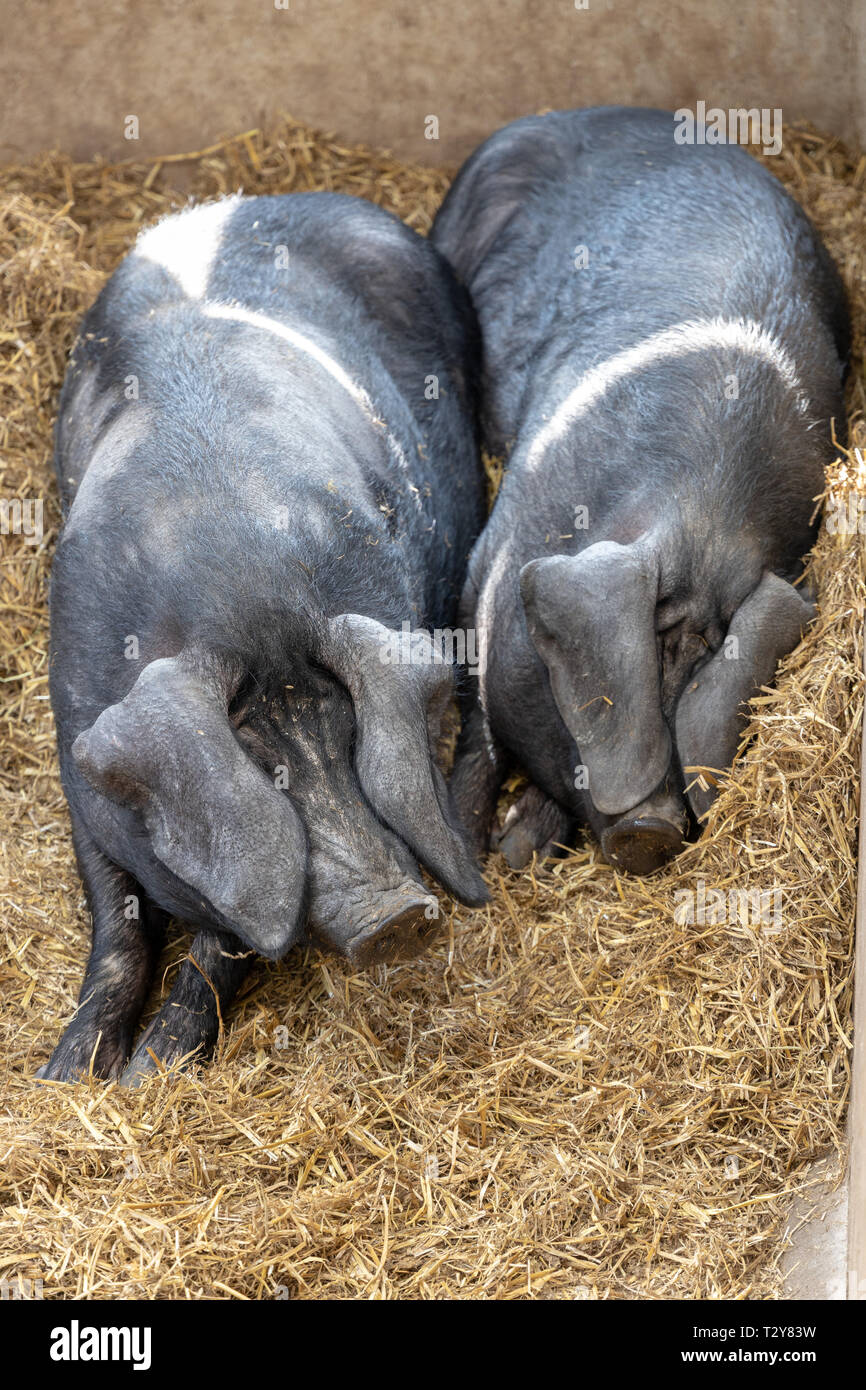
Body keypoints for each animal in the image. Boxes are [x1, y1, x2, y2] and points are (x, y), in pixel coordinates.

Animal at [42, 193, 489, 1084]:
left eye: (354, 741)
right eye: (262, 770)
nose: (399, 915)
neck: (239, 590)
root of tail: (255, 199)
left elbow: (225, 942)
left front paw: (150, 1076)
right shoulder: (80, 769)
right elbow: (117, 924)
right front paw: (68, 1076)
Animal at [430, 108, 850, 872]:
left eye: (704, 657)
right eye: (652, 648)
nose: (652, 828)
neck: (701, 510)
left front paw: (522, 847)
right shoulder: (484, 567)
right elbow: (480, 721)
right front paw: (480, 852)